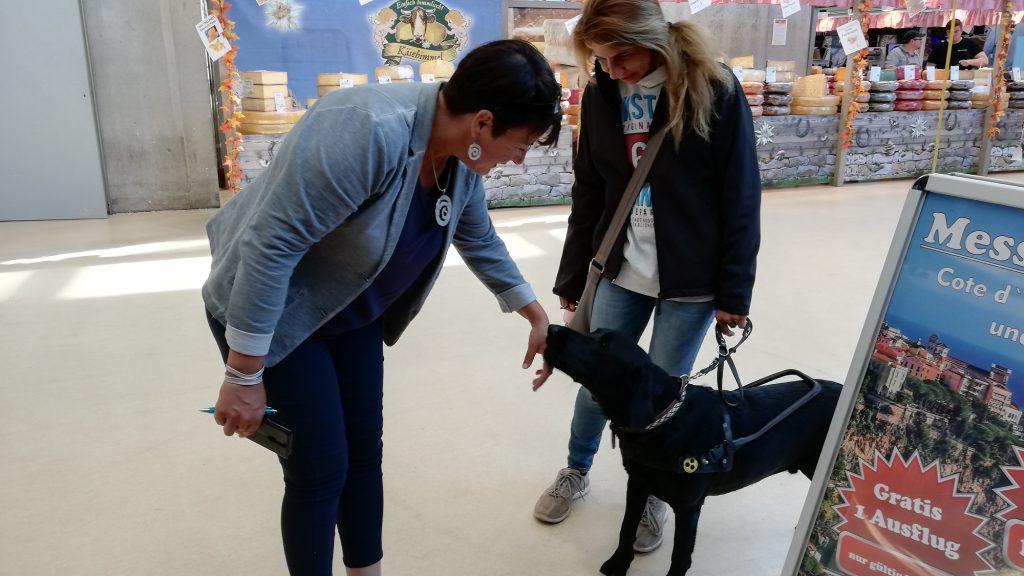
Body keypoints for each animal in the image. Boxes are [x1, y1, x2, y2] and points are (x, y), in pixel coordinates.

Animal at [544, 325, 839, 569]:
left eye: (604, 345)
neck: (664, 422)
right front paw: (618, 564)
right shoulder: (637, 483)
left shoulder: (688, 508)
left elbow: (680, 557)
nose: (551, 328)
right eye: (593, 332)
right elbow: (626, 528)